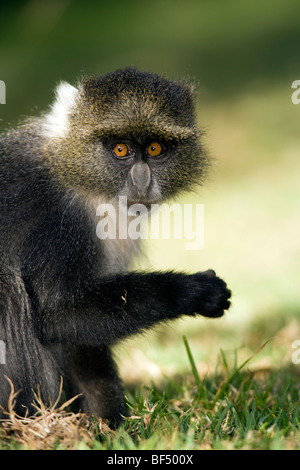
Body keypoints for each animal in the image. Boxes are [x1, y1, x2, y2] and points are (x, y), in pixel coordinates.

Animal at [0, 68, 231, 428]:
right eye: (120, 150)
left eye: (155, 148)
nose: (141, 182)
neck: (74, 176)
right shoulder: (54, 226)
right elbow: (59, 315)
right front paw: (189, 291)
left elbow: (79, 339)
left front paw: (109, 425)